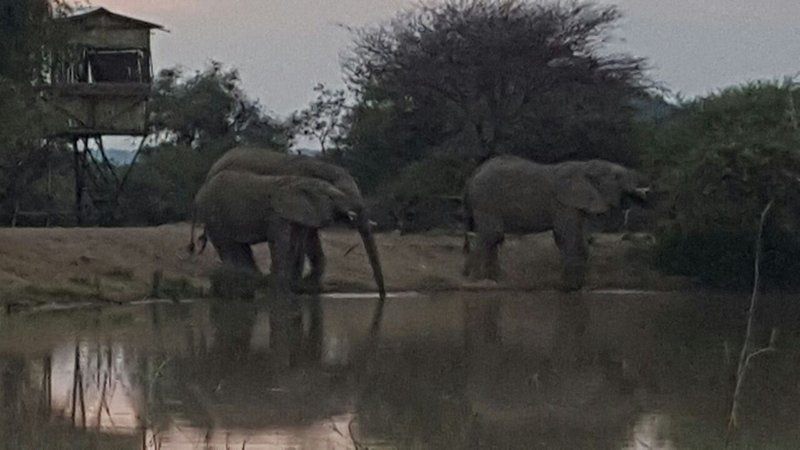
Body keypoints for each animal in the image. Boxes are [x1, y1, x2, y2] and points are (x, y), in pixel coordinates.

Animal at [192, 146, 368, 290]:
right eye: (339, 192)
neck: (318, 166)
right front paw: (298, 283)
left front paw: (305, 284)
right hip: (215, 213)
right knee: (228, 245)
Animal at [462, 154, 648, 288]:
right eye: (617, 177)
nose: (644, 196)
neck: (585, 166)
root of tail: (473, 175)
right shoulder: (564, 203)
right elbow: (568, 236)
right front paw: (571, 287)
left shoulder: (576, 204)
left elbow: (578, 238)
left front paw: (574, 285)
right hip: (486, 200)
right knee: (491, 235)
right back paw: (476, 282)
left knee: (494, 238)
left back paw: (494, 281)